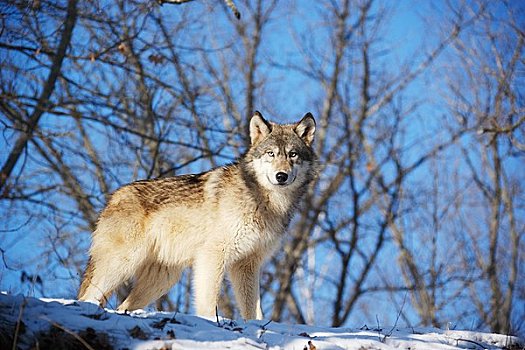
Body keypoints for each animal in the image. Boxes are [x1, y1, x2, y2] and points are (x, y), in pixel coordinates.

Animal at [77, 110, 316, 318]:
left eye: (293, 155)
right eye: (271, 154)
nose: (281, 176)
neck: (263, 200)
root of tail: (113, 197)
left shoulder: (247, 264)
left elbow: (253, 311)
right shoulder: (213, 255)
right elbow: (209, 301)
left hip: (163, 279)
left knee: (122, 306)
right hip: (123, 262)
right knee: (89, 296)